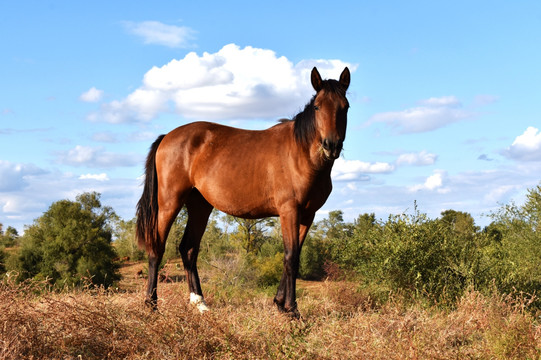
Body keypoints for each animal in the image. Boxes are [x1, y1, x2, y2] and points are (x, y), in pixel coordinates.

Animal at [136, 66, 350, 316]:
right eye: (317, 106)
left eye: (345, 107)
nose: (331, 146)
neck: (302, 154)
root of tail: (167, 137)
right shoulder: (289, 211)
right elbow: (291, 257)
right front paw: (292, 310)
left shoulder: (308, 215)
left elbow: (293, 255)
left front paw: (280, 303)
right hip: (170, 203)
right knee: (157, 248)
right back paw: (151, 304)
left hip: (200, 205)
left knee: (188, 248)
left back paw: (200, 303)